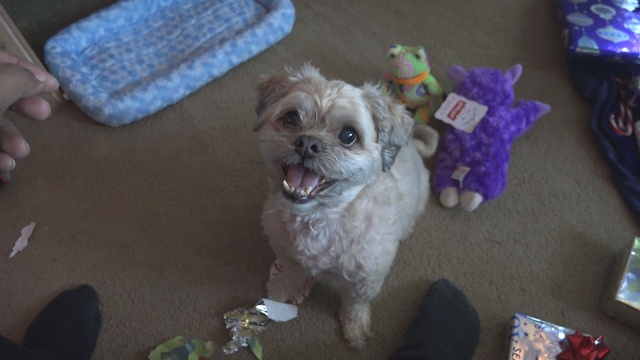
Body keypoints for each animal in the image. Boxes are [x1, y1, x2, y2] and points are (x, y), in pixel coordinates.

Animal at [252, 65, 438, 348]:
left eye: (348, 136)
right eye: (291, 118)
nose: (307, 143)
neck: (322, 216)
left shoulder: (366, 279)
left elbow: (355, 304)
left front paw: (355, 329)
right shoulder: (287, 253)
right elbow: (291, 274)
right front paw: (280, 292)